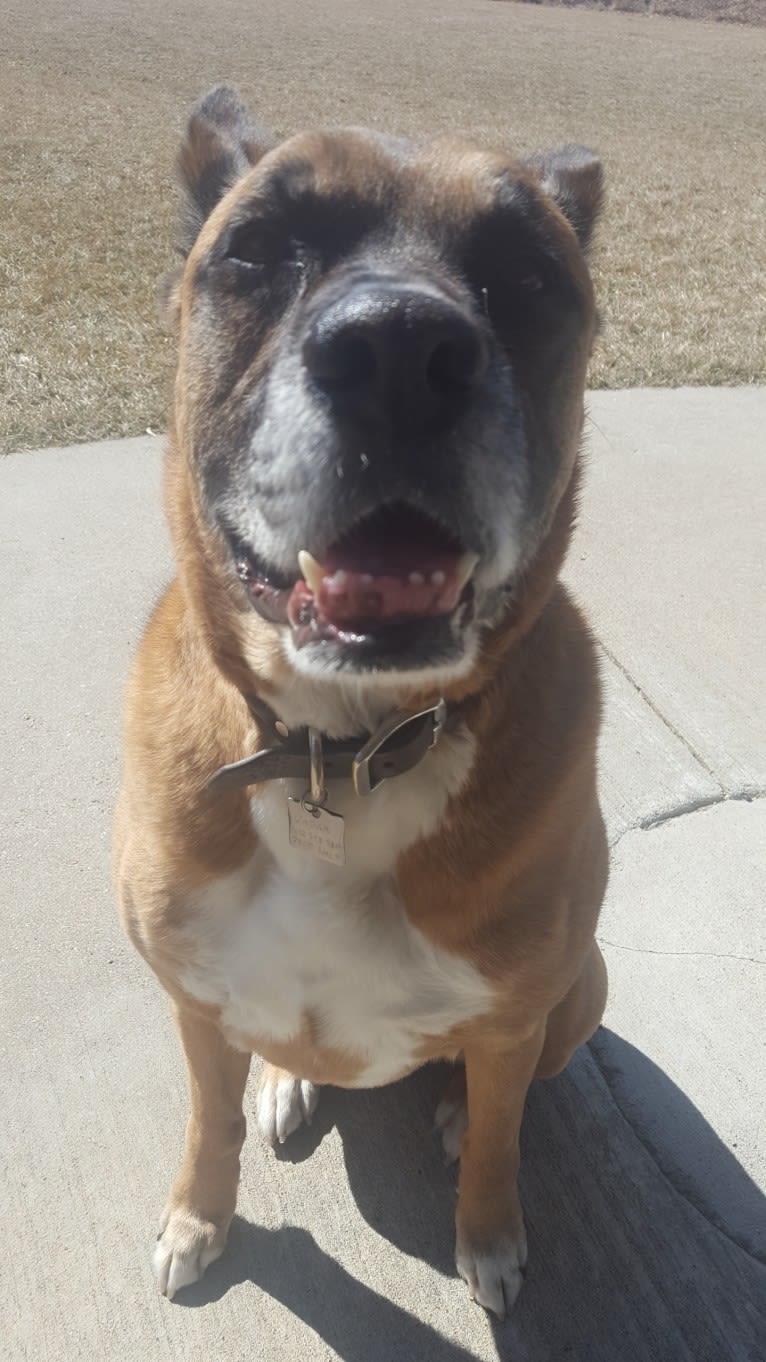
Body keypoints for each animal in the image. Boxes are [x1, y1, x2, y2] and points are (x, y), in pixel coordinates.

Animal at [114, 87, 607, 1318]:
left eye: (527, 274)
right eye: (257, 248)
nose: (397, 351)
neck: (336, 751)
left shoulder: (516, 1009)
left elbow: (499, 1142)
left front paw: (487, 1231)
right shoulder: (195, 1004)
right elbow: (207, 1124)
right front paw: (201, 1218)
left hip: (582, 989)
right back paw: (287, 1086)